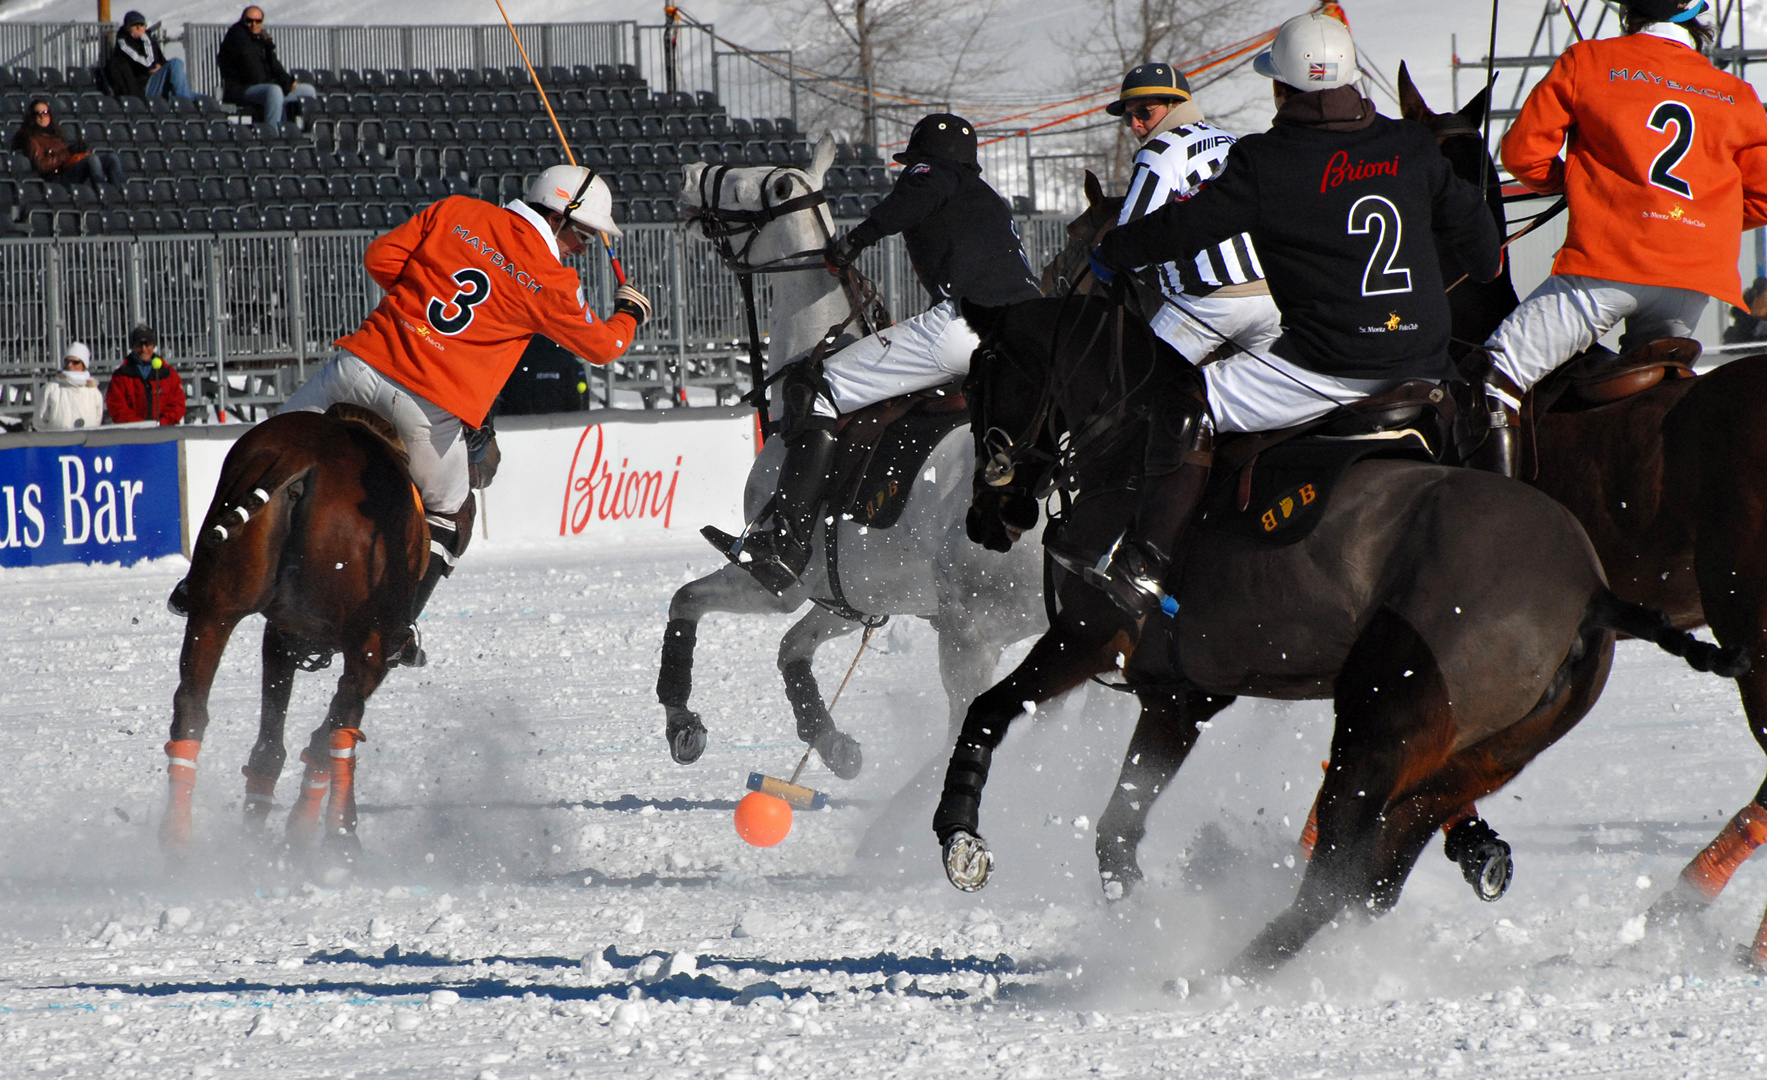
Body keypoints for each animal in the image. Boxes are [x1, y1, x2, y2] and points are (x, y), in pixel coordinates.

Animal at [162, 401, 445, 866]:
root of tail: (302, 455)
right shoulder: (373, 645)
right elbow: (325, 735)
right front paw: (300, 831)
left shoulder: (282, 633)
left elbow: (272, 743)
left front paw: (261, 834)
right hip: (370, 637)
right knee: (344, 722)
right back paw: (341, 841)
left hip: (216, 607)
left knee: (192, 706)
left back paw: (179, 842)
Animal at [664, 141, 1046, 802]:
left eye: (744, 184)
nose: (686, 176)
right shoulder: (858, 591)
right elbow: (792, 649)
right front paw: (835, 746)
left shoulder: (781, 583)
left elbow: (685, 602)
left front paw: (682, 724)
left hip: (972, 629)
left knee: (966, 724)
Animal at [940, 295, 1738, 982]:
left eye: (980, 377)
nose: (987, 516)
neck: (1129, 451)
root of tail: (1590, 592)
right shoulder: (1177, 699)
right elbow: (1116, 831)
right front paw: (1136, 916)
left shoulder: (1086, 639)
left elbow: (988, 711)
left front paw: (960, 838)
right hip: (1479, 756)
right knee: (1372, 876)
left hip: (1382, 720)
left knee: (1334, 876)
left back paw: (1221, 973)